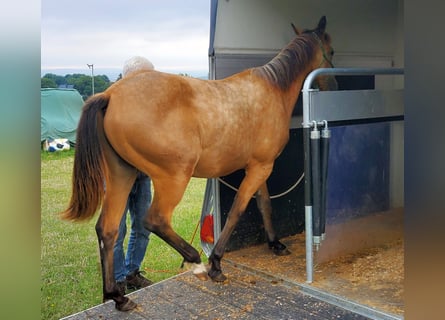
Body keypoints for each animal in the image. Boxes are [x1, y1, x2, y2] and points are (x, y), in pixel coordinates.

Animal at [60, 15, 334, 312]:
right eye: (331, 51)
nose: (333, 85)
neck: (271, 89)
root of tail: (110, 95)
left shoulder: (259, 166)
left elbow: (264, 205)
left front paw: (275, 244)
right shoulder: (260, 167)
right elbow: (238, 210)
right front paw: (216, 263)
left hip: (122, 175)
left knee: (107, 229)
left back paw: (118, 296)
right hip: (173, 177)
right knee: (155, 220)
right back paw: (197, 264)